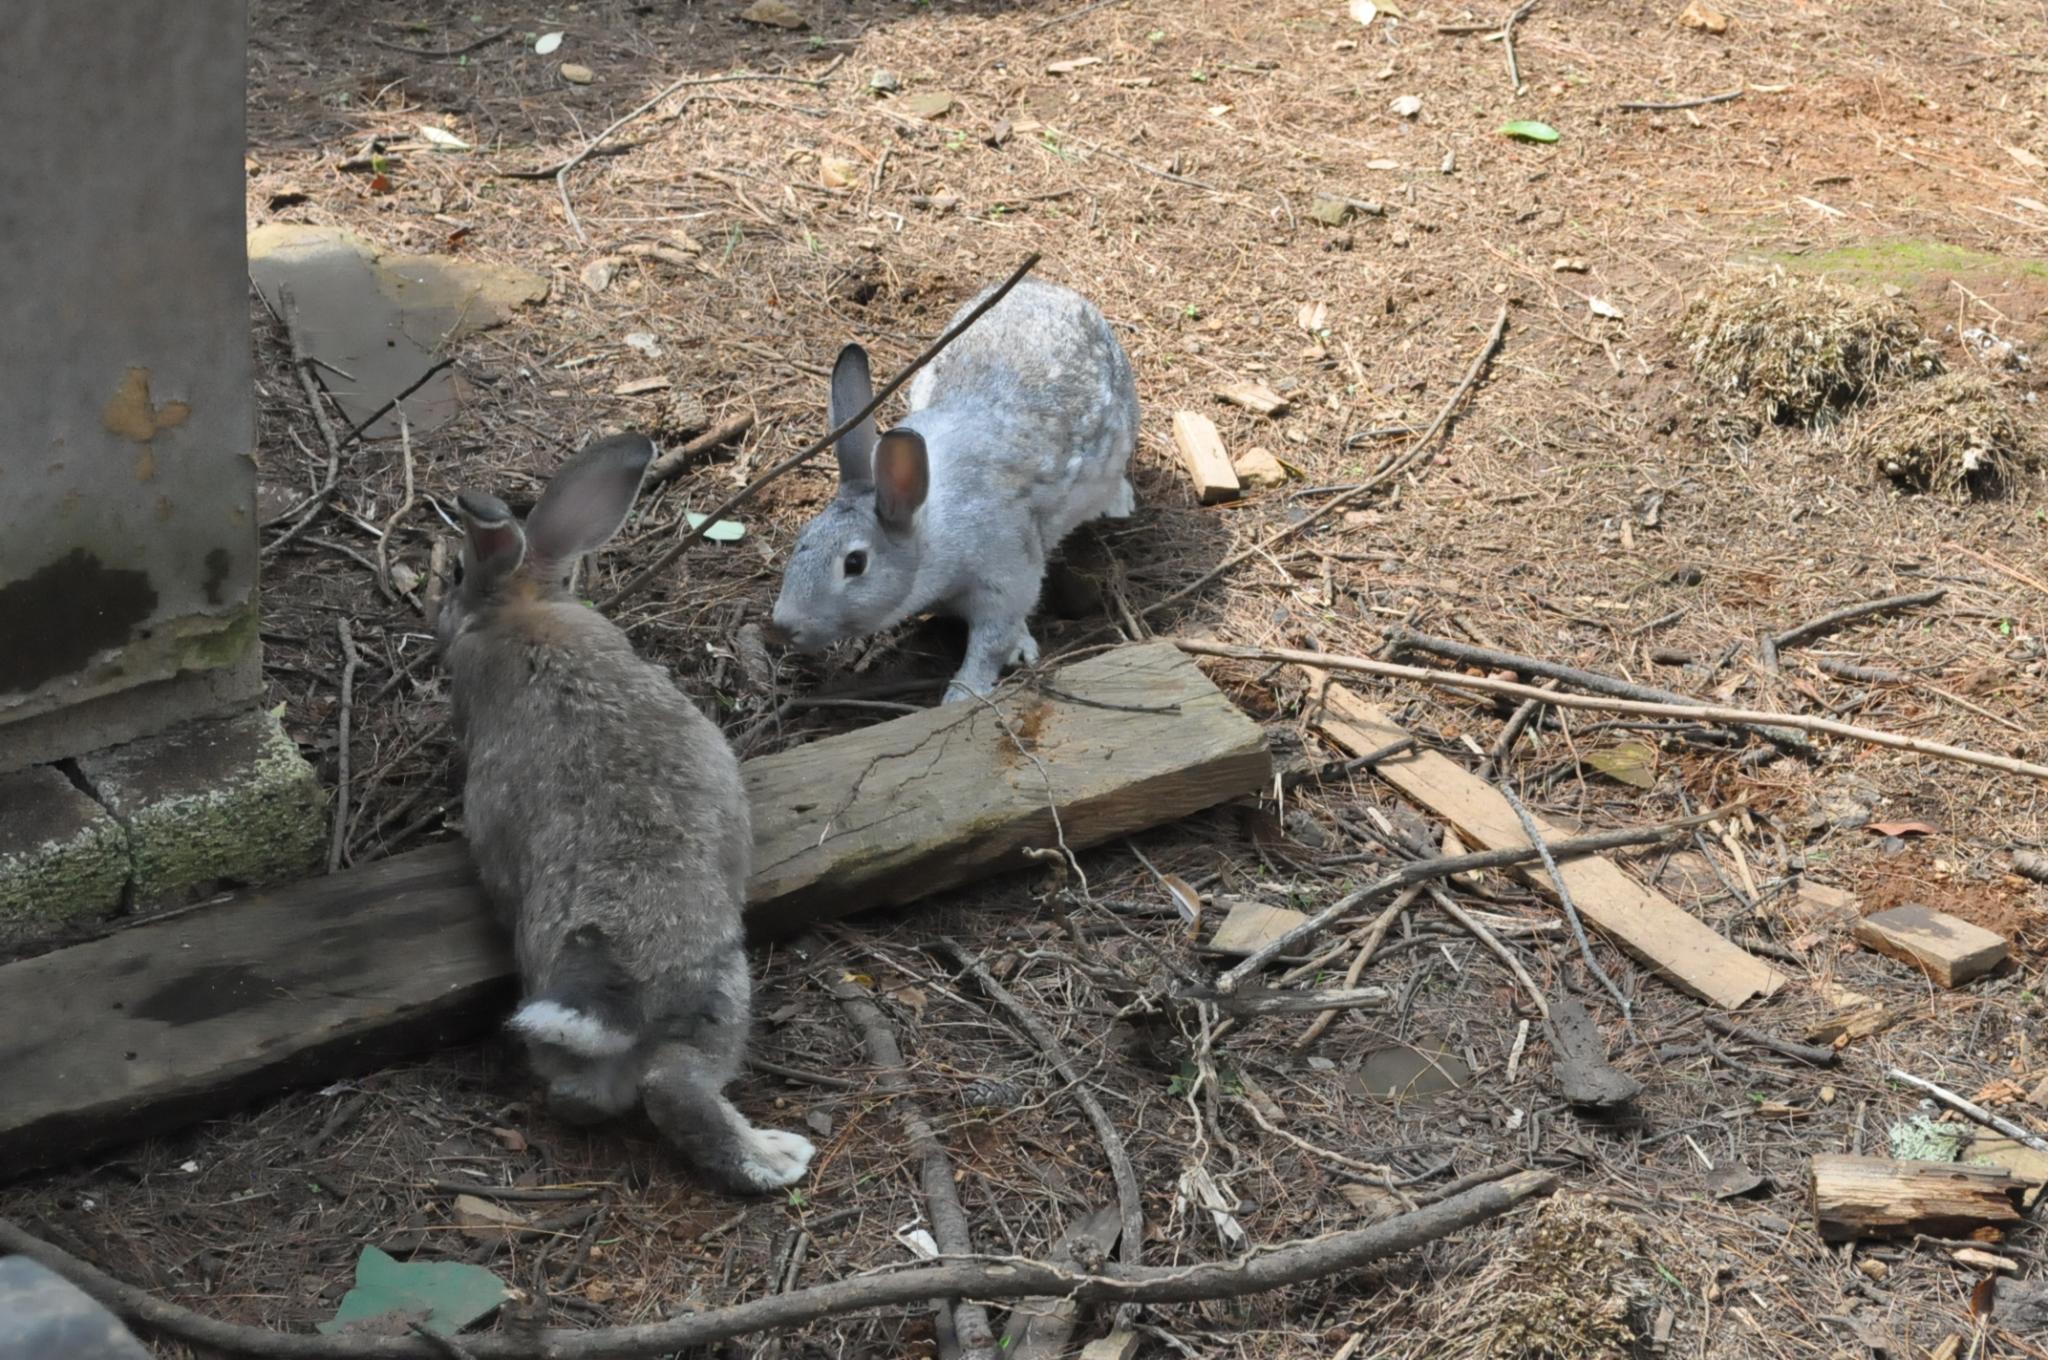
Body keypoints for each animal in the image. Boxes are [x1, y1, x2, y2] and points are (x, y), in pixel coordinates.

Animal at [436, 432, 811, 1187]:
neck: (517, 607)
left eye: (456, 572)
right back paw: (778, 1158)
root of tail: (611, 990)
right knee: (676, 1090)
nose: (439, 613)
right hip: (718, 997)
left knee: (581, 1096)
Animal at [770, 276, 1146, 700]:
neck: (926, 527)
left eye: (854, 563)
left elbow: (991, 643)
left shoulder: (1007, 577)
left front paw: (963, 693)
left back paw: (1119, 502)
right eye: (802, 537)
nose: (783, 626)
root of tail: (1047, 288)